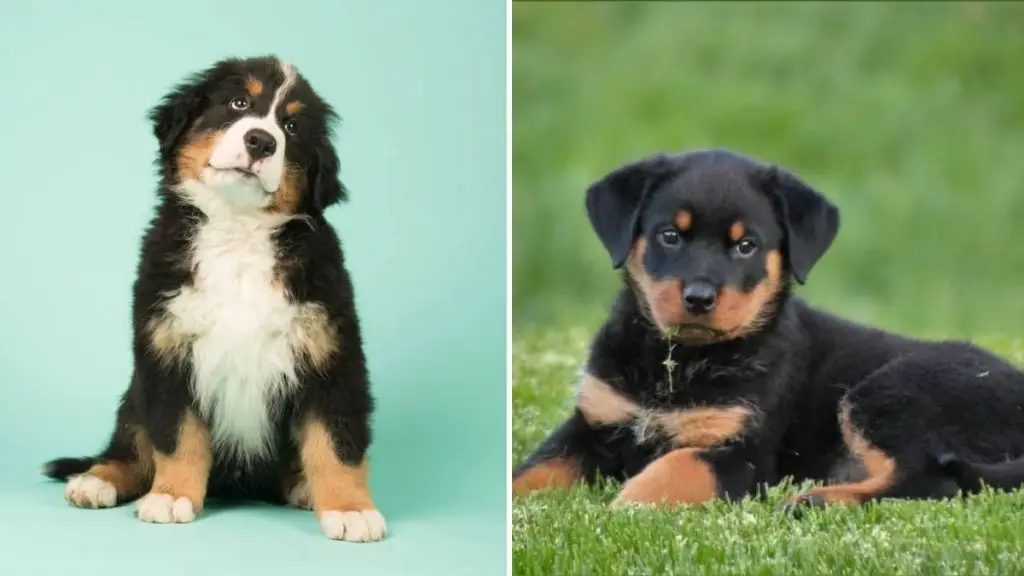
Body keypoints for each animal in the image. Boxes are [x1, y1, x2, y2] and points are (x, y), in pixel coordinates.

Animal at [38, 56, 385, 541]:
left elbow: (336, 441)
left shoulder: (331, 355)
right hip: (134, 395)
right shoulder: (166, 351)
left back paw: (302, 486)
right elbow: (177, 435)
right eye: (238, 103)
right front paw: (171, 496)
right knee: (130, 445)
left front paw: (351, 509)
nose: (261, 140)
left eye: (292, 126)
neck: (237, 232)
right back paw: (98, 479)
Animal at [516, 146, 1024, 506]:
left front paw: (625, 508)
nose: (698, 298)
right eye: (670, 235)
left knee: (932, 481)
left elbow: (676, 468)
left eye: (746, 246)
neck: (676, 363)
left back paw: (813, 501)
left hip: (892, 392)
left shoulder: (743, 453)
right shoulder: (591, 424)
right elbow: (532, 470)